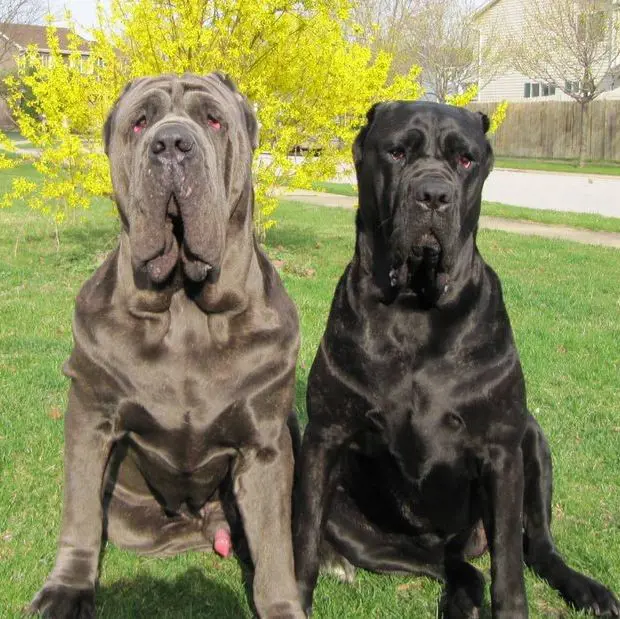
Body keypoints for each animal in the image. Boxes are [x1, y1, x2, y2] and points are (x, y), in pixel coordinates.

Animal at [29, 74, 306, 619]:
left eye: (213, 120)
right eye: (140, 122)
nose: (172, 144)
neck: (184, 310)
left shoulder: (266, 446)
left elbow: (274, 547)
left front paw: (282, 603)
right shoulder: (91, 415)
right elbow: (79, 513)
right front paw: (66, 588)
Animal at [296, 103, 620, 619]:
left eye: (465, 159)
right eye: (397, 152)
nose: (433, 194)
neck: (413, 308)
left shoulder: (501, 452)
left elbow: (509, 569)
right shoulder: (324, 438)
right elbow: (304, 536)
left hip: (532, 438)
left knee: (536, 547)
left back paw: (586, 589)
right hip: (360, 527)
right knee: (450, 564)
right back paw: (461, 599)